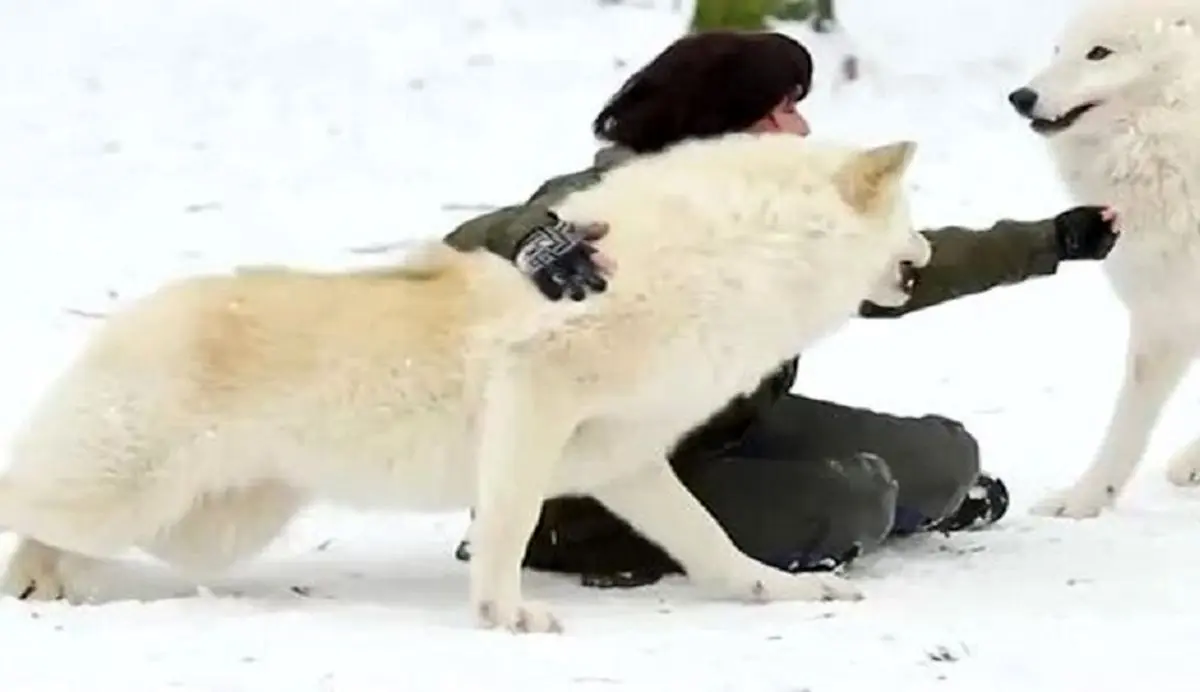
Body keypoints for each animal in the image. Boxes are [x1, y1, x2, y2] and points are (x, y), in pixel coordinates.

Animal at [0, 129, 926, 633]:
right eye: (910, 218)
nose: (923, 257)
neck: (738, 260)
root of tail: (119, 320)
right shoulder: (535, 399)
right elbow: (509, 531)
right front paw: (505, 618)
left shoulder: (625, 464)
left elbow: (716, 547)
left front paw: (789, 590)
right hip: (124, 501)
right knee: (21, 500)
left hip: (202, 531)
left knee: (56, 545)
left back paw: (41, 588)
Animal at [1008, 0, 1200, 518]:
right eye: (1057, 49)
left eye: (1099, 53)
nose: (1021, 97)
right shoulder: (1163, 314)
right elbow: (1125, 426)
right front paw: (1082, 501)